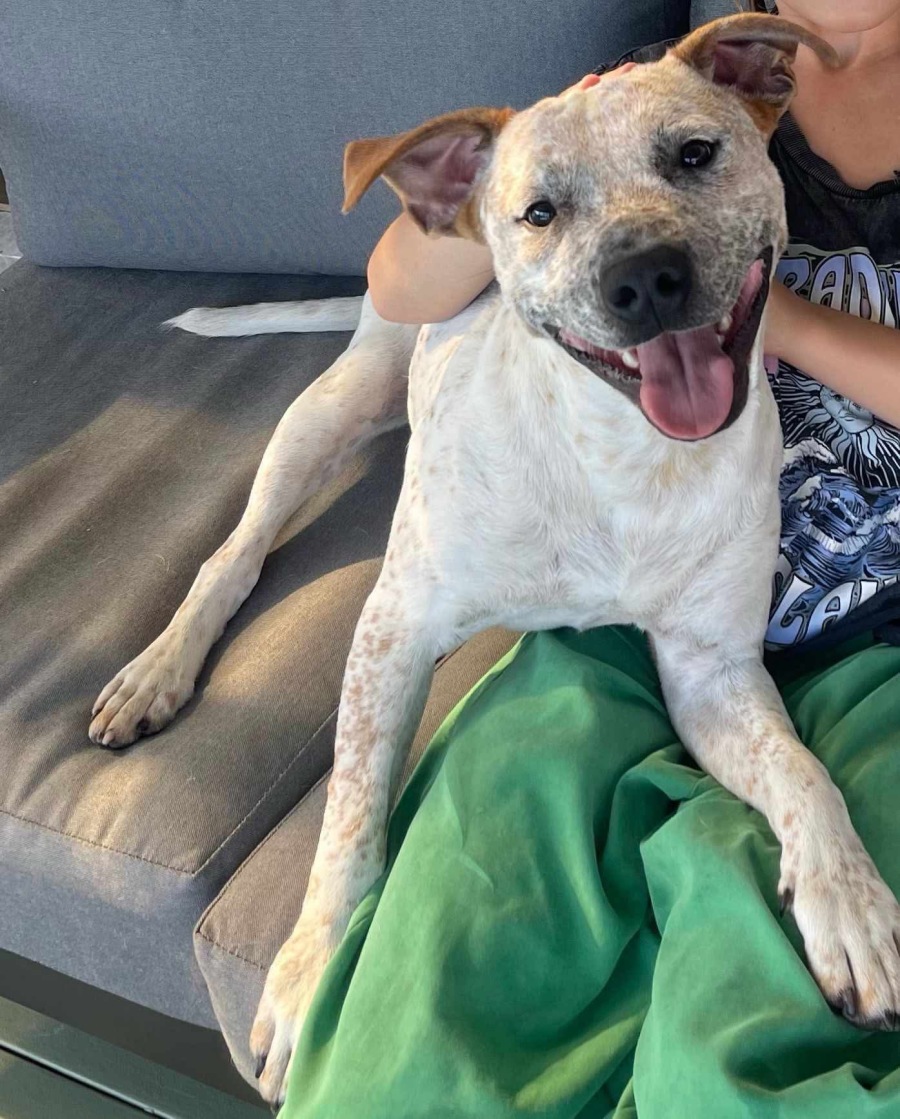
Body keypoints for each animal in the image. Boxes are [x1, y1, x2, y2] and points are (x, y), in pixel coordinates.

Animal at [89, 14, 900, 1105]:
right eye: (539, 213)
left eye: (694, 154)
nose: (643, 277)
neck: (621, 462)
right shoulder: (392, 628)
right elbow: (347, 821)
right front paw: (307, 976)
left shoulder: (712, 672)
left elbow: (804, 773)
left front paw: (849, 904)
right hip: (330, 409)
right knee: (233, 556)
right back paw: (157, 671)